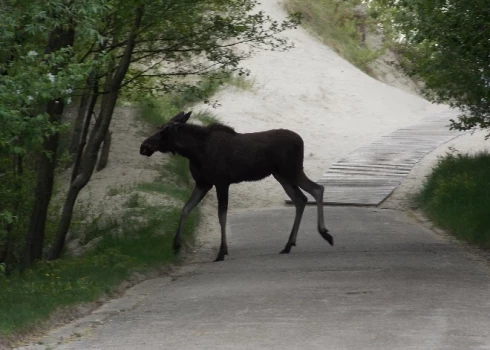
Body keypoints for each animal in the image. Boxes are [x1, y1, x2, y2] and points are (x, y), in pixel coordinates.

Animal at [140, 110, 334, 262]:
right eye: (159, 128)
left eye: (165, 131)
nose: (144, 146)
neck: (193, 152)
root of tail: (301, 140)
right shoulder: (203, 183)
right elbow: (186, 208)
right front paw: (175, 245)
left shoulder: (221, 182)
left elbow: (222, 215)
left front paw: (221, 252)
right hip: (281, 175)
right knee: (301, 198)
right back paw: (289, 244)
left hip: (291, 170)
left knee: (317, 189)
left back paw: (324, 233)